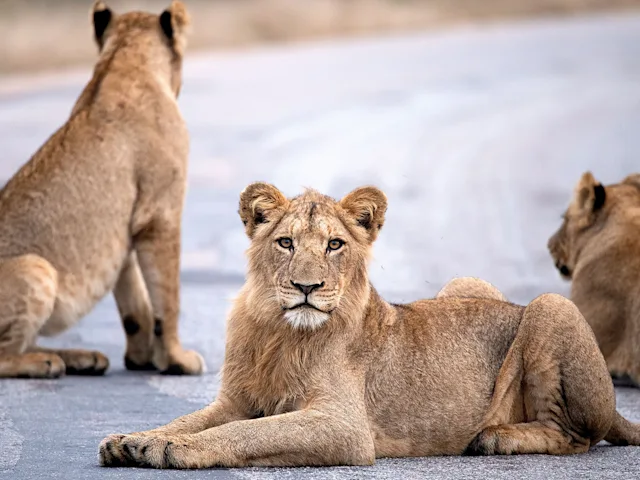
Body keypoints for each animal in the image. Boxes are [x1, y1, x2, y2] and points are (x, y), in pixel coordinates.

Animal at [0, 1, 204, 378]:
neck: (122, 59)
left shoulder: (125, 227)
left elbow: (135, 300)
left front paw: (141, 358)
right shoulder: (160, 215)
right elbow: (167, 297)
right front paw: (176, 360)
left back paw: (81, 357)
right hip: (36, 267)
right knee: (5, 353)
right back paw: (46, 363)